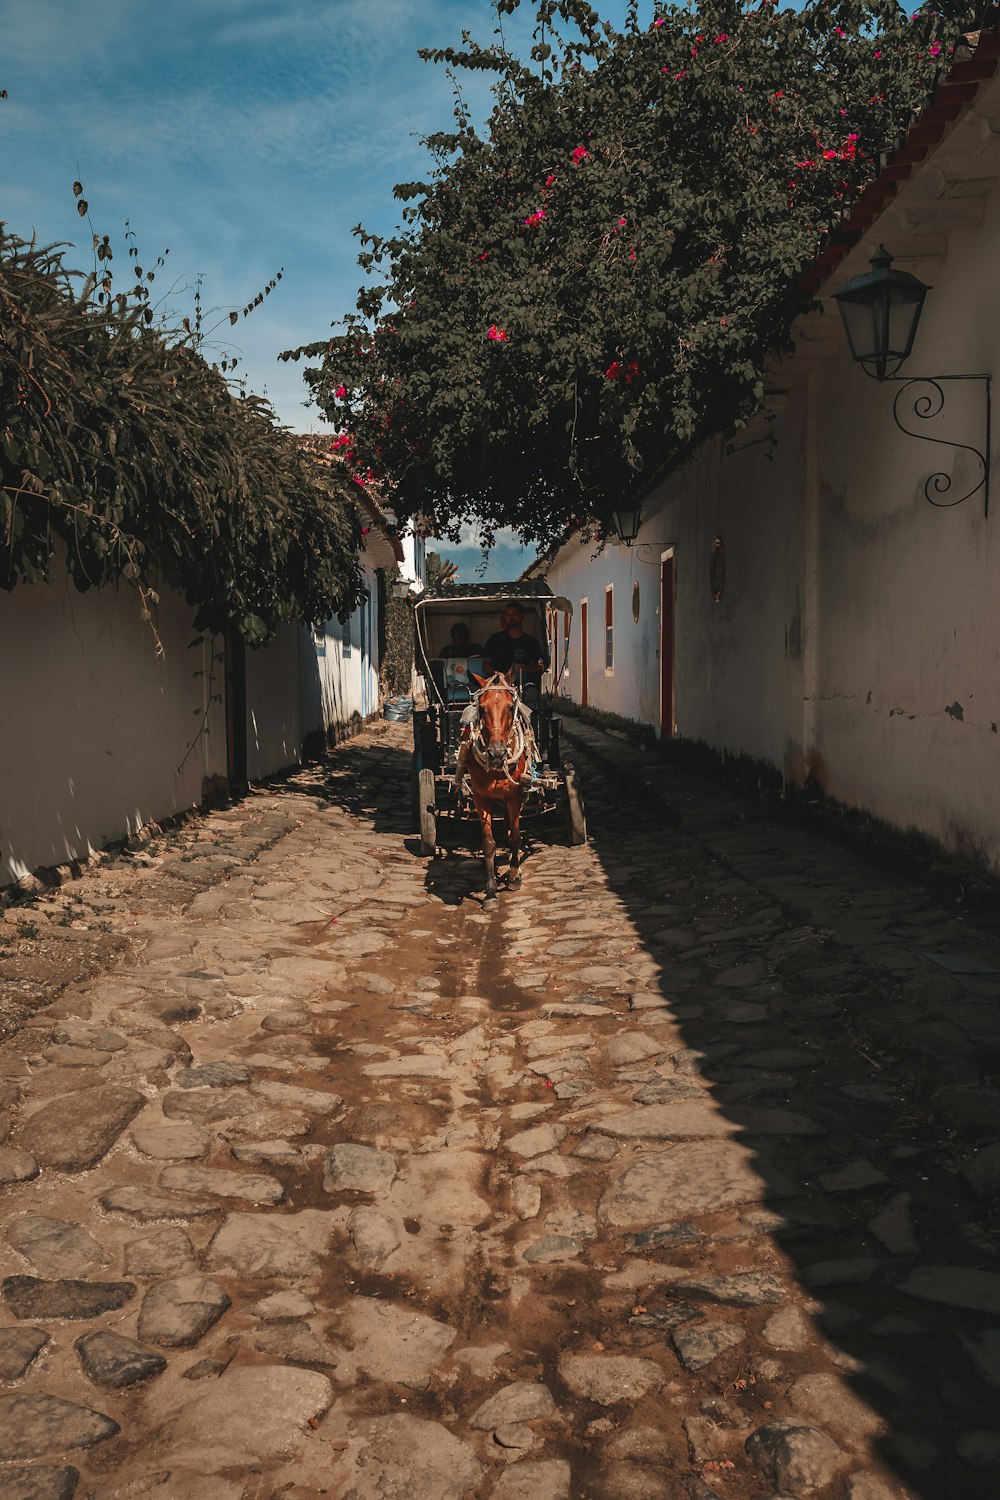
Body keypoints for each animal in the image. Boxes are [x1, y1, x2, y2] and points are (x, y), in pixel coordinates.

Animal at [458, 672, 536, 906]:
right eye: (482, 709)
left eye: (510, 707)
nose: (496, 754)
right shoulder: (480, 797)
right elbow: (489, 843)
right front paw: (491, 891)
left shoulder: (515, 795)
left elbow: (515, 837)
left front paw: (514, 876)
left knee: (513, 828)